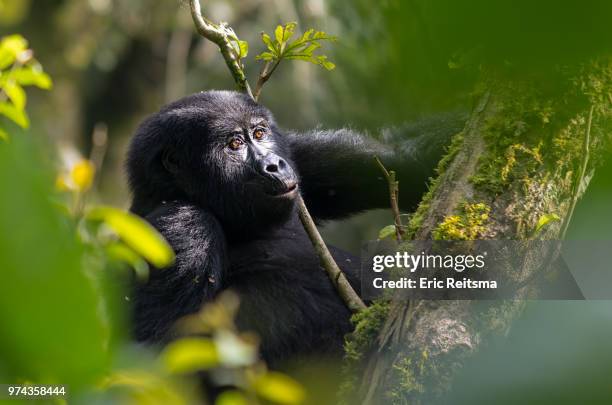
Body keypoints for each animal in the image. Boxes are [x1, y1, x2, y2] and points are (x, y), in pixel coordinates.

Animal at [128, 90, 464, 364]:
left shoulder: (296, 152)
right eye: (235, 144)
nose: (274, 165)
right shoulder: (182, 227)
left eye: (259, 133)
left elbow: (400, 160)